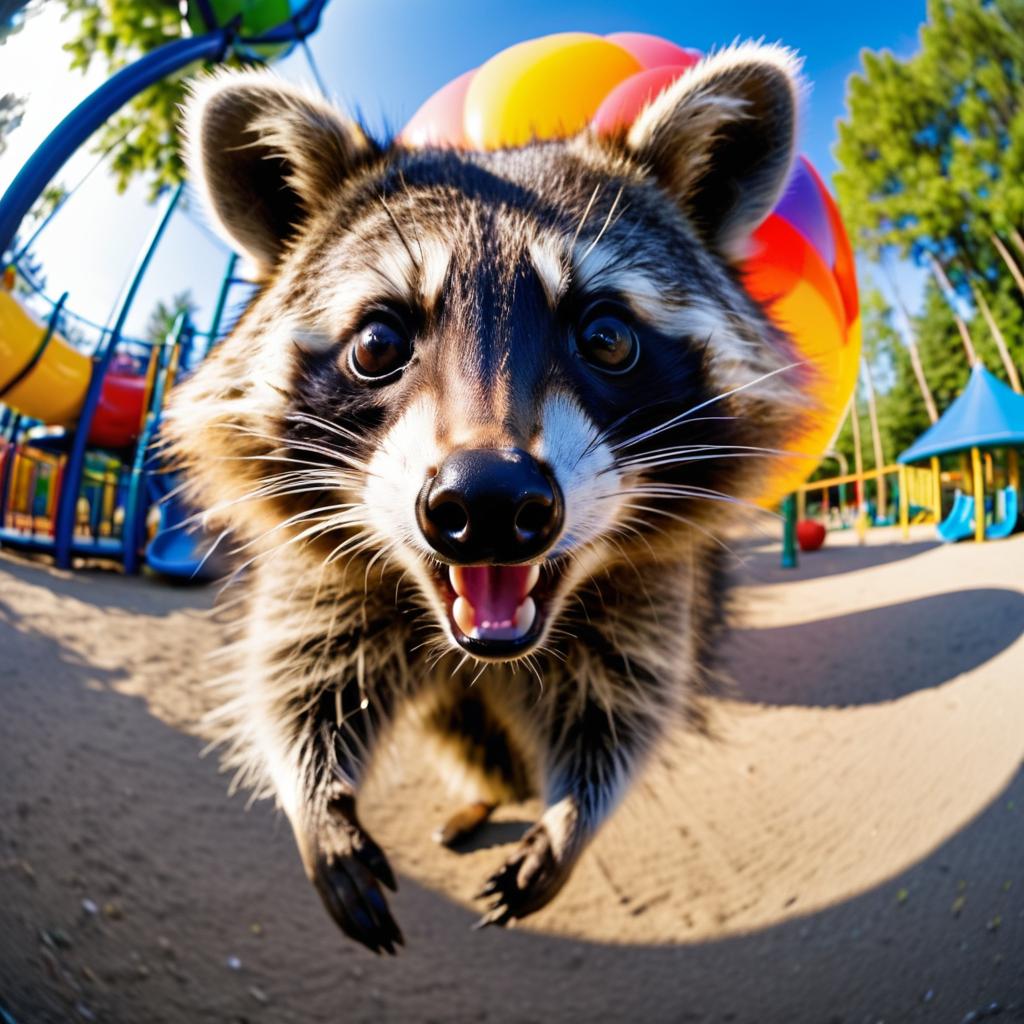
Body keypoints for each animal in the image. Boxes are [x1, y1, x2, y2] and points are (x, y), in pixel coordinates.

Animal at [165, 44, 806, 954]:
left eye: (606, 336)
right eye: (378, 342)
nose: (491, 501)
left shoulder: (652, 585)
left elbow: (626, 704)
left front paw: (576, 816)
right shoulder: (323, 566)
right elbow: (294, 677)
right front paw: (312, 802)